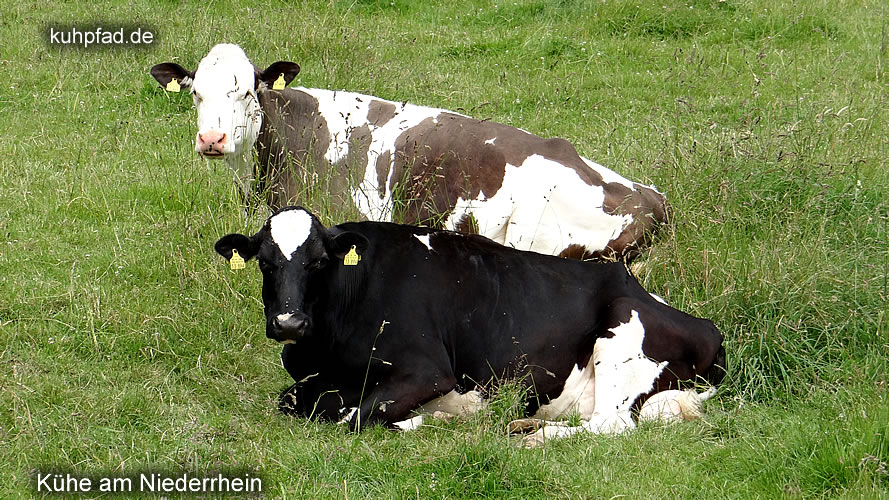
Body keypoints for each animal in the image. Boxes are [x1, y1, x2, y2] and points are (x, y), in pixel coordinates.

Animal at [214, 206, 725, 445]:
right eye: (264, 263)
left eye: (319, 262)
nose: (288, 322)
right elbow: (293, 401)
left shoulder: (427, 372)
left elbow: (354, 416)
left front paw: (420, 422)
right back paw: (521, 423)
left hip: (621, 337)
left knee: (610, 425)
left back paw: (529, 438)